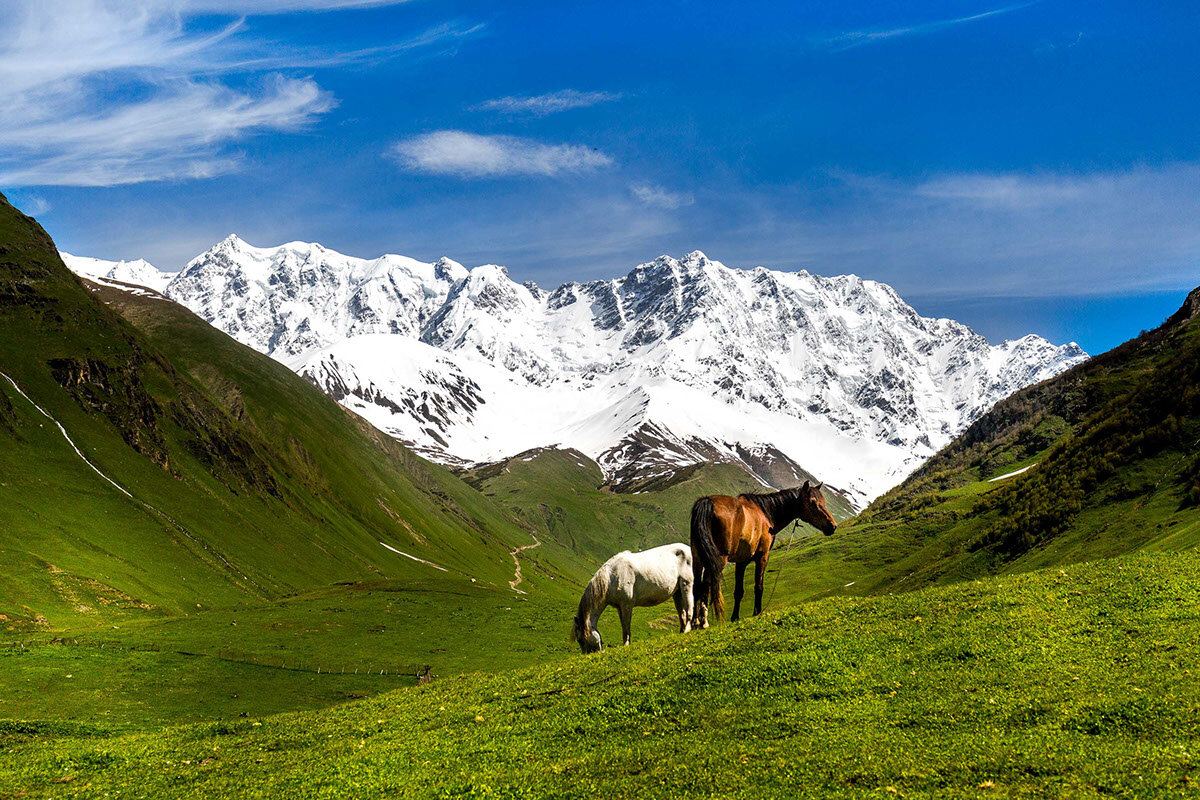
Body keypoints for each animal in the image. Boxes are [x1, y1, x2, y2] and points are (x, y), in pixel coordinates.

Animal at [691, 482, 840, 623]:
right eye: (813, 502)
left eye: (823, 502)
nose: (832, 526)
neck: (766, 514)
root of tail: (707, 502)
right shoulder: (762, 556)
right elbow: (758, 587)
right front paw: (757, 612)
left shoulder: (741, 562)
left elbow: (739, 591)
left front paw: (735, 617)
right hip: (717, 561)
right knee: (705, 586)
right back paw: (702, 622)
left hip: (698, 560)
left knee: (696, 587)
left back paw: (695, 622)